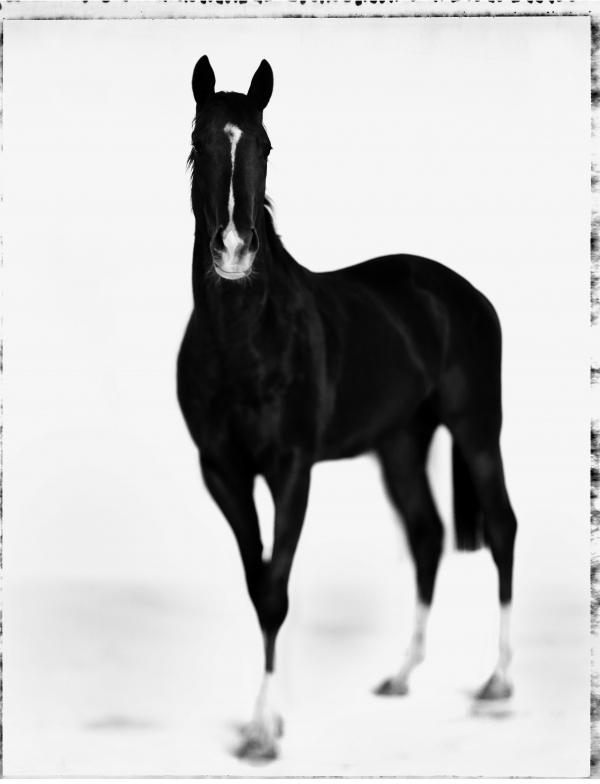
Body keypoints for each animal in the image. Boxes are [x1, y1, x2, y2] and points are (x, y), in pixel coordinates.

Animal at [177, 56, 518, 761]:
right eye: (198, 143)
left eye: (266, 145)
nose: (234, 250)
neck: (244, 344)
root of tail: (462, 292)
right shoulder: (222, 472)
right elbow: (258, 585)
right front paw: (267, 722)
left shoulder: (291, 469)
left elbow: (275, 590)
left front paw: (262, 731)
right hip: (401, 443)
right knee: (427, 535)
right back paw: (401, 674)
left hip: (477, 429)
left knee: (501, 527)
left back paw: (497, 682)